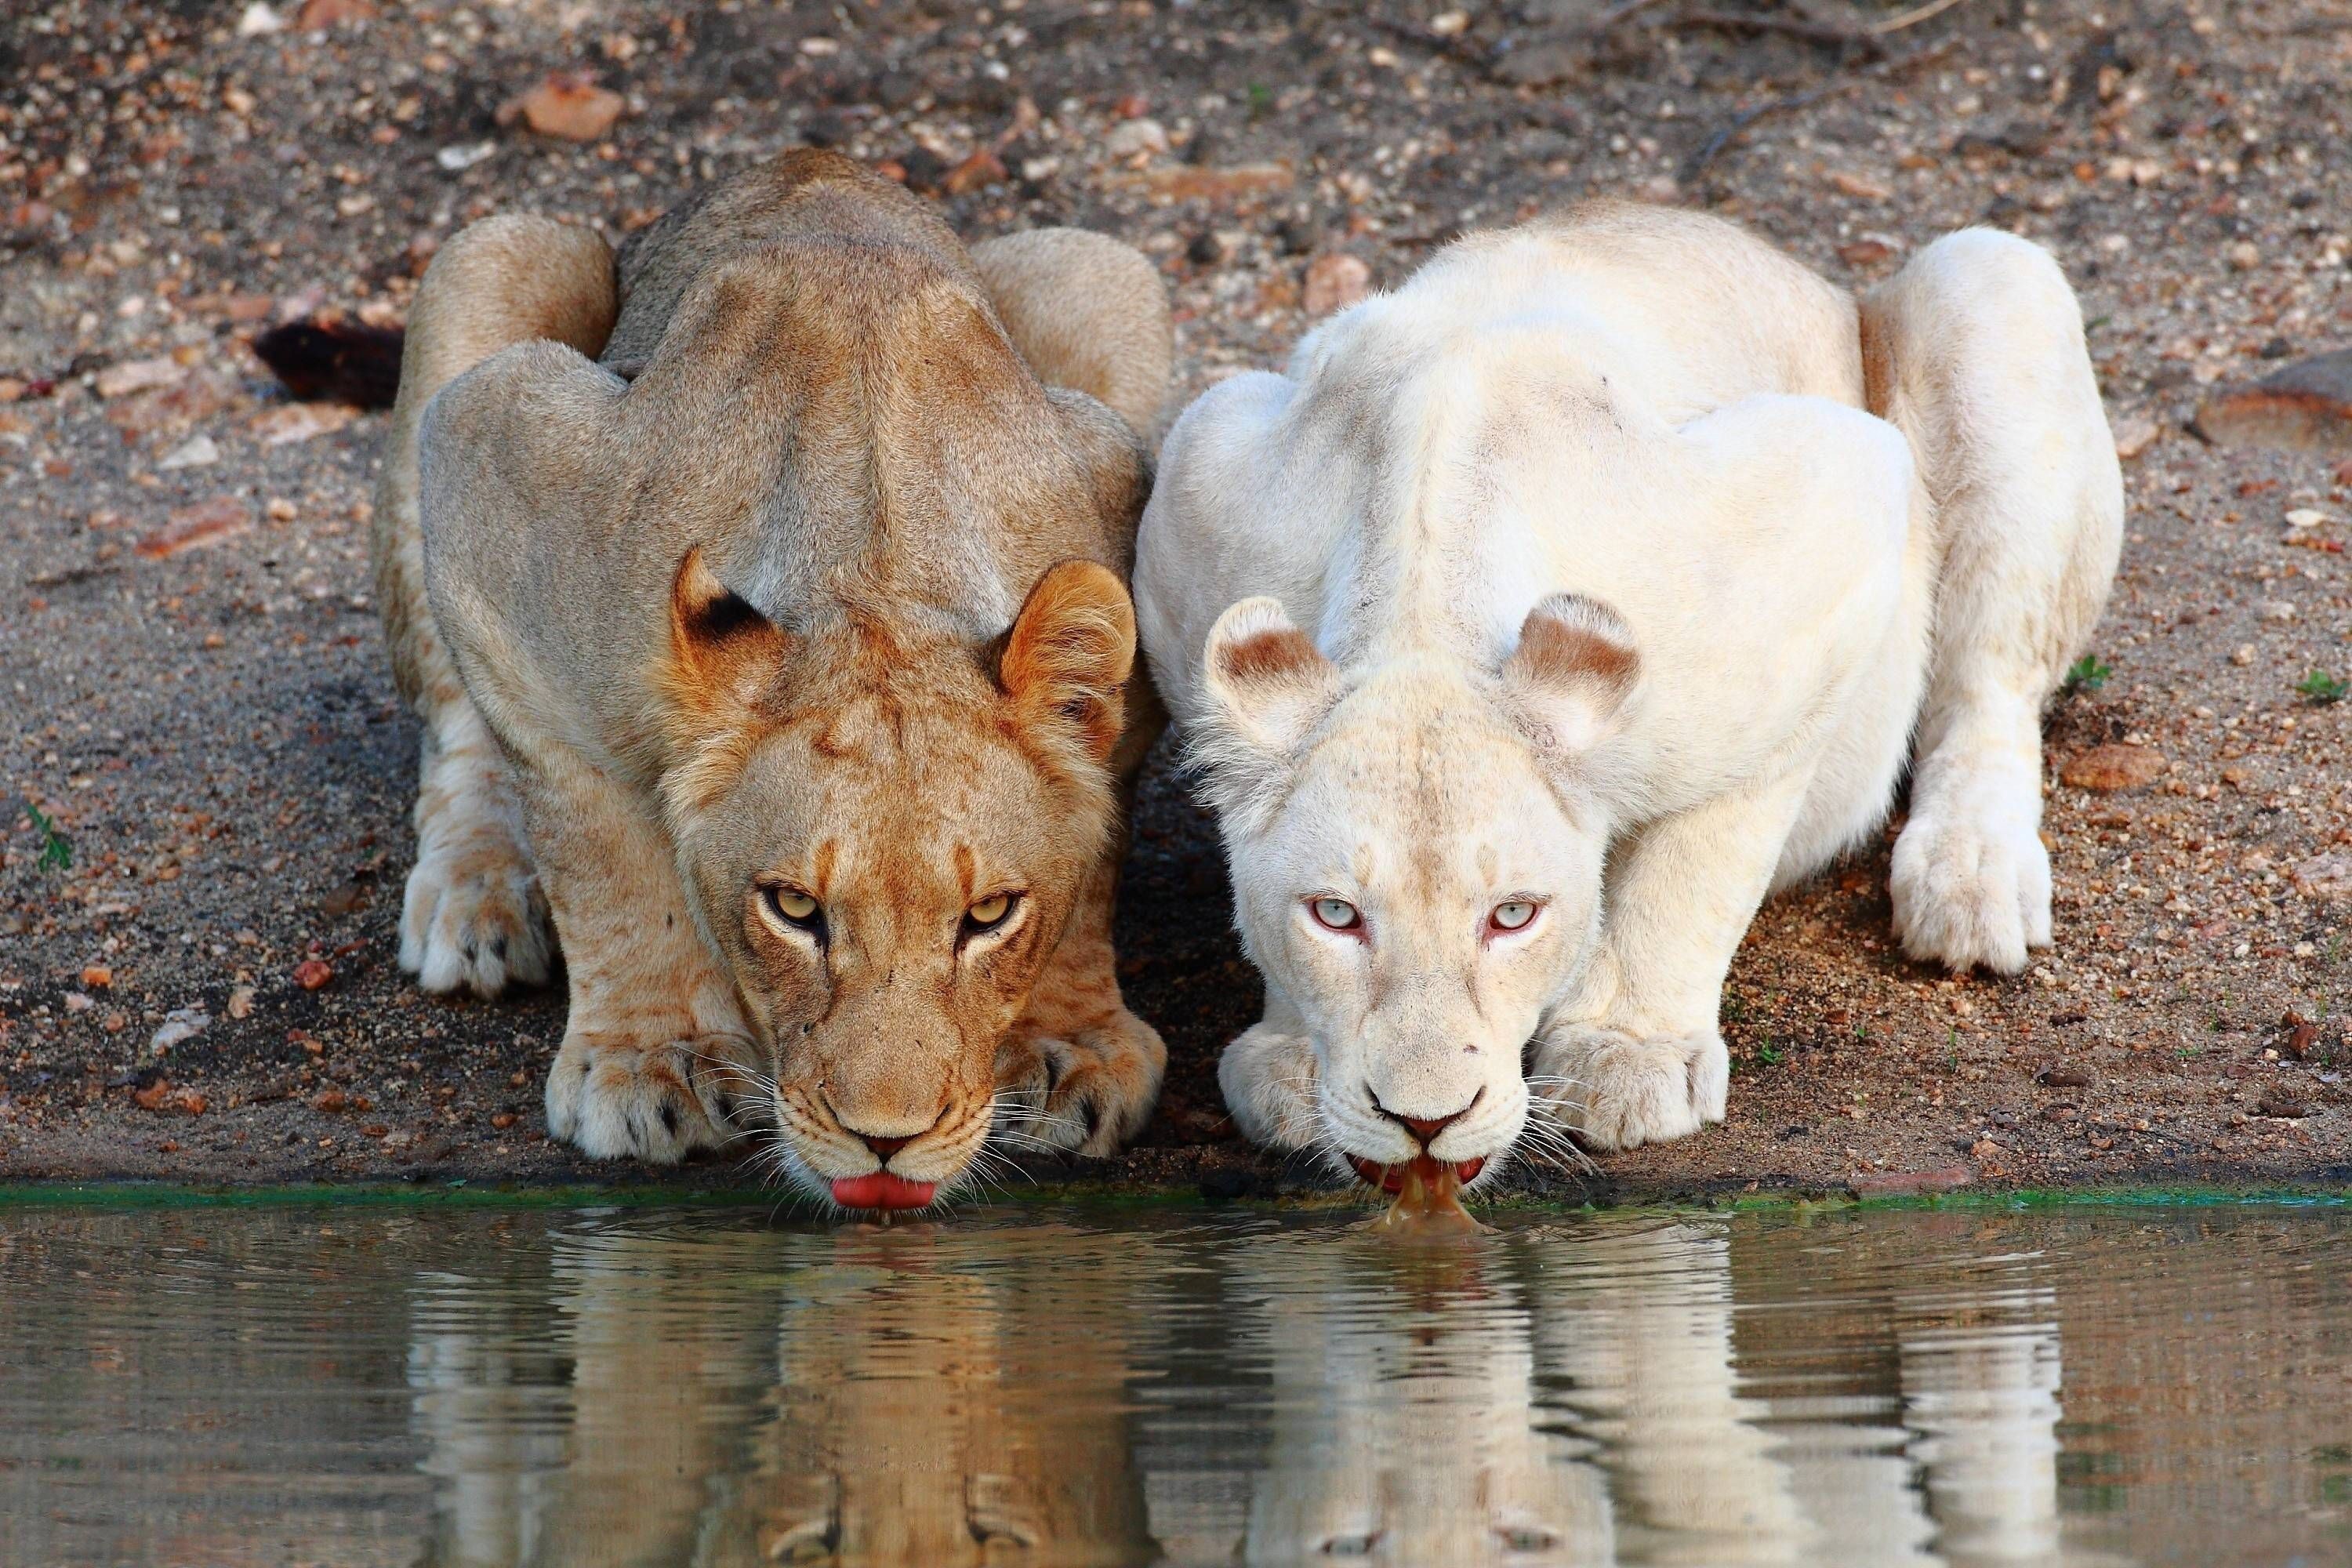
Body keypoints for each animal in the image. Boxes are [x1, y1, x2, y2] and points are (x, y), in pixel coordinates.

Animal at [1129, 201, 2126, 1185]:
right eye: (1335, 914)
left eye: (1514, 915)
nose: (1425, 1121)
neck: (1422, 599)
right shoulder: (1194, 487)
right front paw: (1292, 1060)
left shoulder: (1832, 517)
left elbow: (1697, 864)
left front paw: (1626, 1055)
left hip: (1990, 282)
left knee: (1990, 679)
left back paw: (1971, 883)